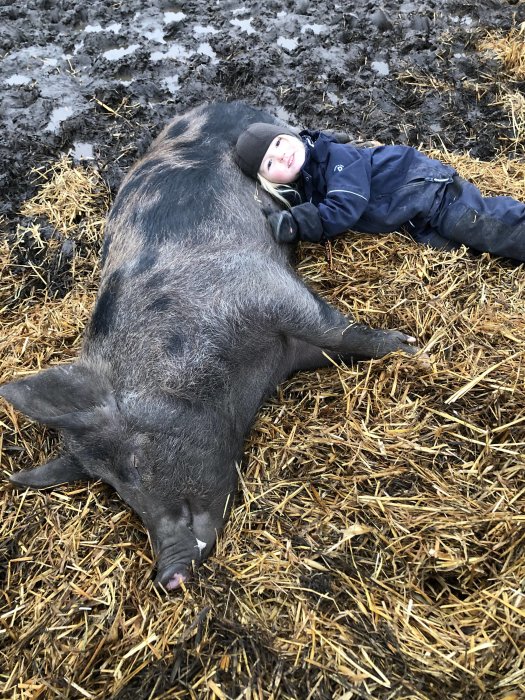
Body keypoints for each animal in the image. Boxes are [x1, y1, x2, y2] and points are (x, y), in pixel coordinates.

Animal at [0, 100, 420, 592]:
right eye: (111, 486)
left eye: (135, 462)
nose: (167, 576)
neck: (244, 382)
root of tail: (216, 103)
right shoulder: (288, 351)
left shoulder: (263, 287)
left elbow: (339, 331)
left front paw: (410, 347)